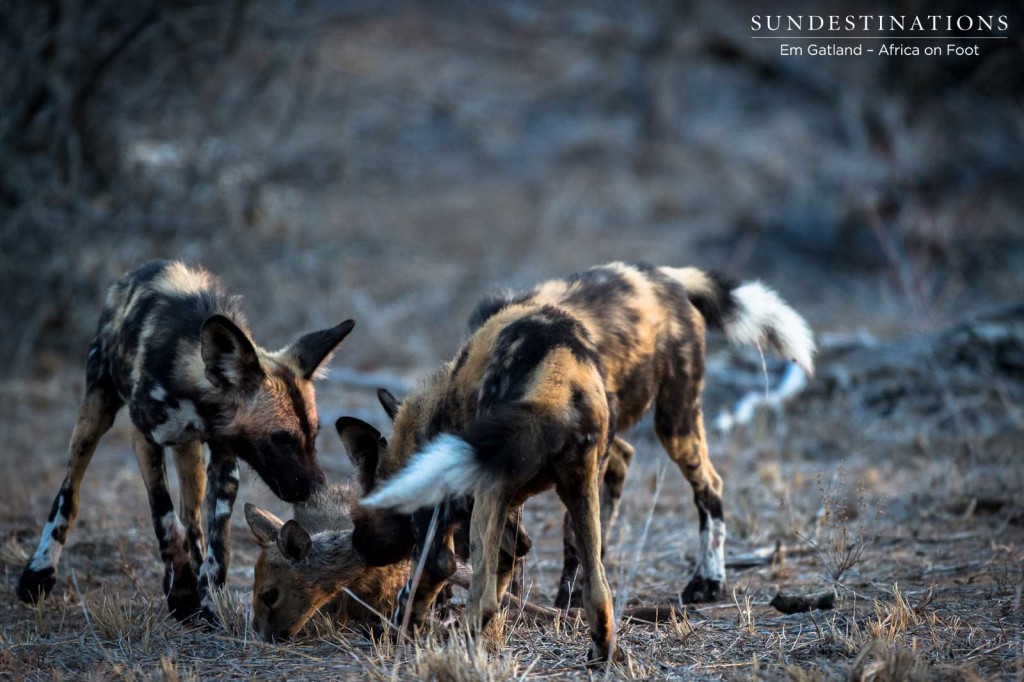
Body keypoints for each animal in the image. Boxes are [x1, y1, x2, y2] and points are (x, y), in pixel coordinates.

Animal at [14, 261, 352, 622]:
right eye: (280, 438)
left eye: (314, 435)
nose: (316, 490)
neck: (194, 390)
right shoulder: (144, 438)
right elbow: (164, 518)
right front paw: (184, 593)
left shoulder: (224, 458)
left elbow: (217, 543)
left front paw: (209, 601)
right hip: (96, 411)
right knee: (70, 492)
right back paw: (39, 572)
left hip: (190, 457)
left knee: (192, 521)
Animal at [360, 259, 815, 659]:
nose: (370, 542)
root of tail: (663, 276)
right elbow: (515, 561)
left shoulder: (451, 519)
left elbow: (429, 578)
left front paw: (404, 626)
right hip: (592, 468)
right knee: (599, 579)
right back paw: (595, 642)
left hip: (672, 423)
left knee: (709, 489)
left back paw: (707, 580)